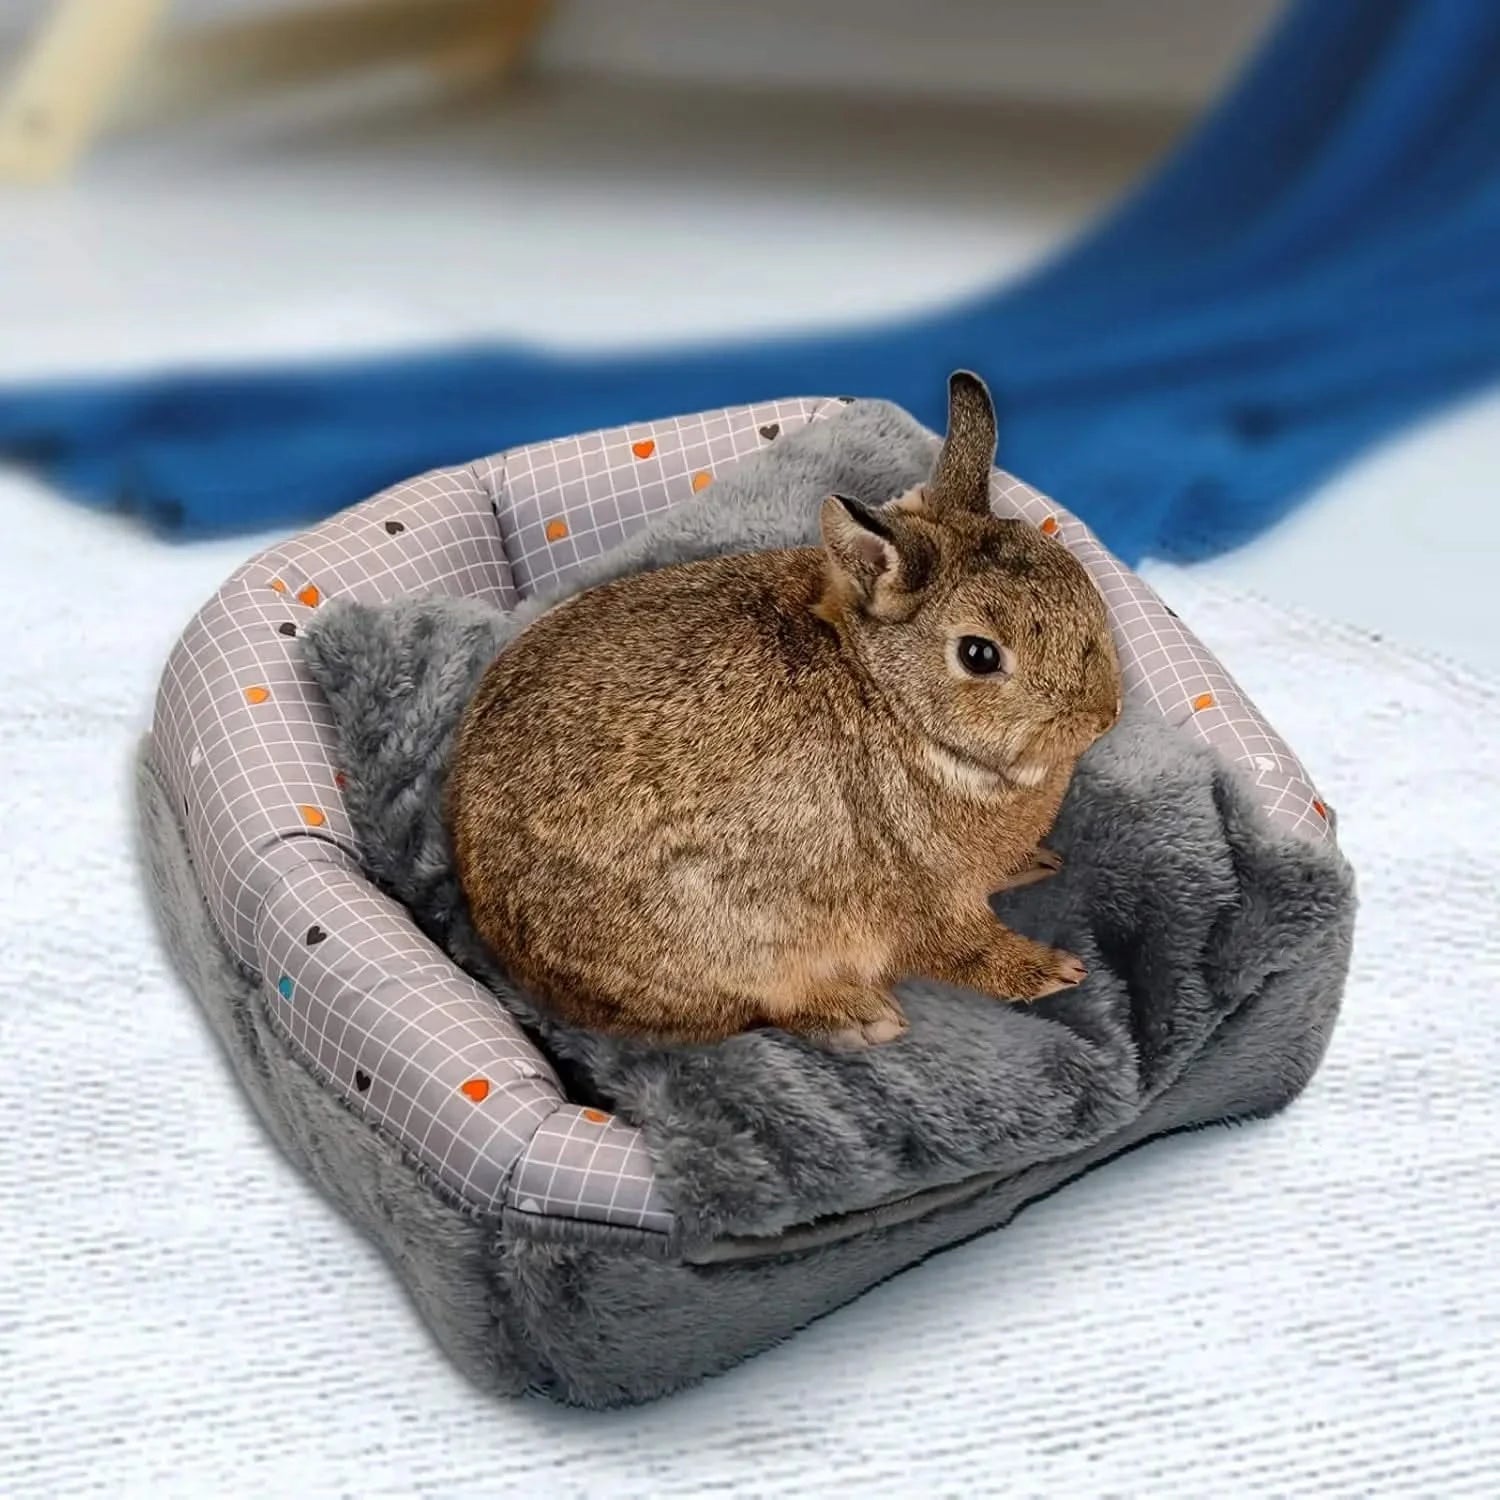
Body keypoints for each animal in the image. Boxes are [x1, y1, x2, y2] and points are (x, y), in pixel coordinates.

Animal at [447, 371, 1122, 1049]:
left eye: (1079, 584)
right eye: (979, 655)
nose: (1105, 713)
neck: (886, 695)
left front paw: (1035, 862)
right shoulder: (925, 894)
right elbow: (965, 950)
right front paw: (1055, 972)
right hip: (737, 944)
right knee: (766, 1007)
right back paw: (864, 1017)